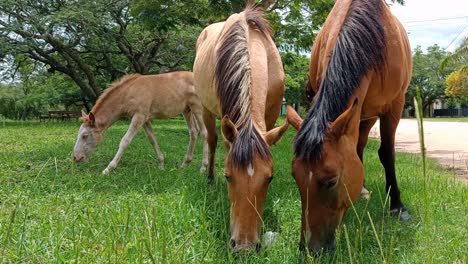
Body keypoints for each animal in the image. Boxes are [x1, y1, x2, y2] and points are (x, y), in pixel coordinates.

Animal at [72, 71, 207, 175]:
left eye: (85, 135)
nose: (75, 158)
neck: (128, 92)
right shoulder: (145, 119)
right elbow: (152, 139)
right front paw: (161, 164)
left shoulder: (139, 116)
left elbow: (125, 141)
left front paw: (108, 168)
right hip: (187, 110)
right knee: (193, 132)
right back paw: (185, 164)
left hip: (197, 108)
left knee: (204, 133)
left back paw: (203, 168)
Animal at [193, 5, 288, 251]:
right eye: (228, 177)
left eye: (270, 178)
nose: (244, 247)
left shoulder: (271, 116)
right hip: (206, 109)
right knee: (212, 141)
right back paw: (209, 178)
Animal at [288, 0, 412, 255]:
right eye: (295, 177)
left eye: (331, 181)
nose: (310, 249)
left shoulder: (395, 106)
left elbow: (387, 153)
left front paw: (397, 206)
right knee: (358, 147)